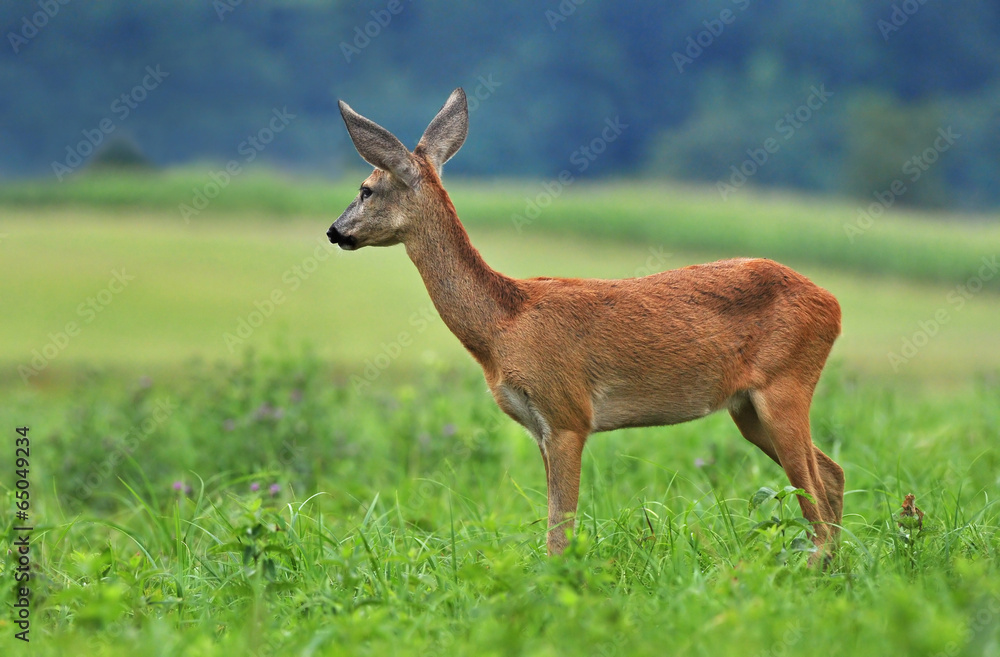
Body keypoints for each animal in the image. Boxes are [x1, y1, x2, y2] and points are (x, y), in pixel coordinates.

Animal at [328, 88, 845, 561]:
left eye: (366, 188)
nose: (334, 231)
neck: (502, 327)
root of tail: (832, 304)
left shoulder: (567, 413)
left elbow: (560, 533)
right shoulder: (539, 427)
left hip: (785, 384)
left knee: (815, 497)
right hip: (747, 408)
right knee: (832, 475)